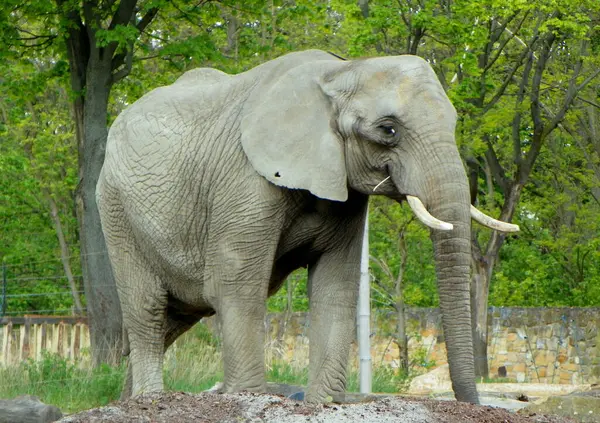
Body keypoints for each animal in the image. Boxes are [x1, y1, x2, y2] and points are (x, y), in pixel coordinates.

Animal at [97, 48, 516, 406]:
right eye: (389, 130)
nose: (471, 402)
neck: (340, 71)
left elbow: (335, 287)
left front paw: (324, 403)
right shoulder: (244, 181)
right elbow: (236, 285)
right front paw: (248, 397)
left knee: (177, 318)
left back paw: (128, 401)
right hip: (116, 210)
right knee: (149, 310)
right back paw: (149, 399)